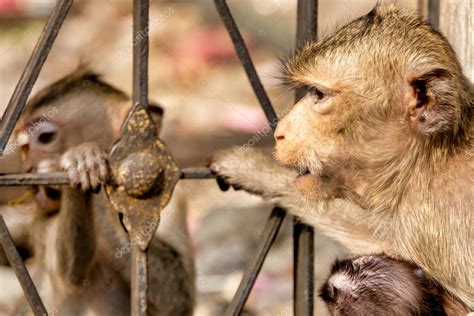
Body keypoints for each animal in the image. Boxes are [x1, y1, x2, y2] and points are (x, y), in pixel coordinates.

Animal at [13, 70, 194, 314]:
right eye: (24, 147)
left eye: (45, 137)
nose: (28, 168)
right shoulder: (45, 216)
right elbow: (70, 274)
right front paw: (83, 163)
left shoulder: (171, 195)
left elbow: (176, 301)